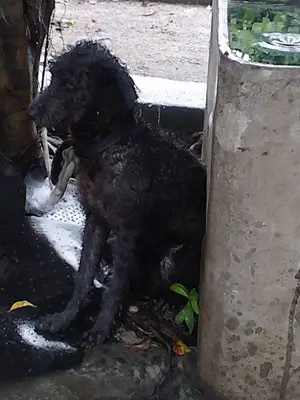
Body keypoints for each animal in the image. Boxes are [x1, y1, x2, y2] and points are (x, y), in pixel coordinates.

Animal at [28, 41, 206, 346]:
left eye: (70, 83)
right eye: (53, 76)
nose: (31, 112)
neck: (107, 147)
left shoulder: (126, 229)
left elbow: (116, 287)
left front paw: (101, 328)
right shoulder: (96, 220)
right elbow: (83, 274)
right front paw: (64, 318)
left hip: (171, 258)